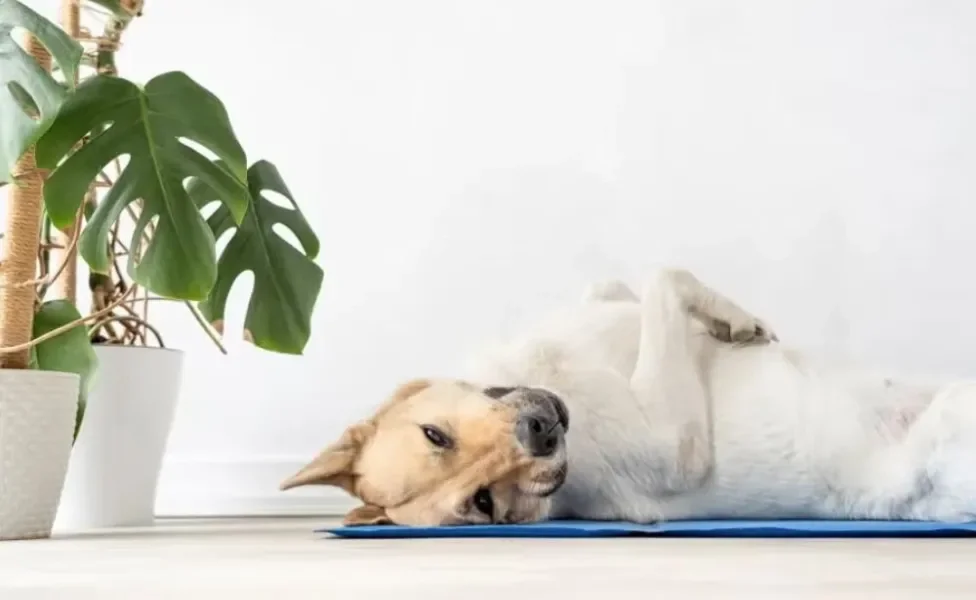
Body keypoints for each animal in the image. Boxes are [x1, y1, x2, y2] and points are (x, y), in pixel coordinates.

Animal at [280, 268, 976, 524]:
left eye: (436, 435)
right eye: (484, 503)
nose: (542, 432)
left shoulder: (603, 307)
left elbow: (629, 288)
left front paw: (729, 324)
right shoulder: (677, 443)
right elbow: (668, 278)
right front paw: (737, 321)